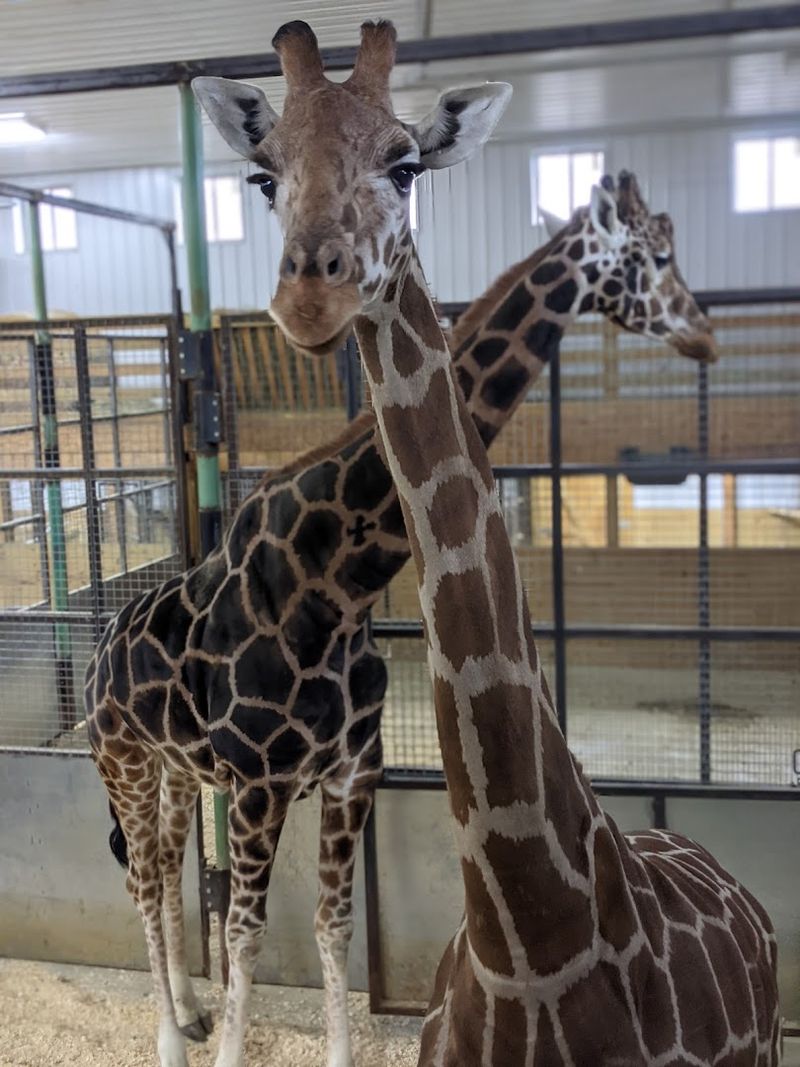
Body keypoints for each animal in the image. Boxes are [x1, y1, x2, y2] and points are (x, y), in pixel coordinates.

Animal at [85, 29, 721, 1067]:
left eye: (407, 163)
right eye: (657, 253)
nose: (704, 334)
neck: (334, 579)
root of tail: (98, 642)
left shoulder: (350, 774)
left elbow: (333, 926)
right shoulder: (257, 782)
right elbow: (247, 932)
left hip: (176, 773)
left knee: (167, 879)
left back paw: (186, 1008)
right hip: (127, 764)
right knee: (143, 883)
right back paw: (174, 1038)